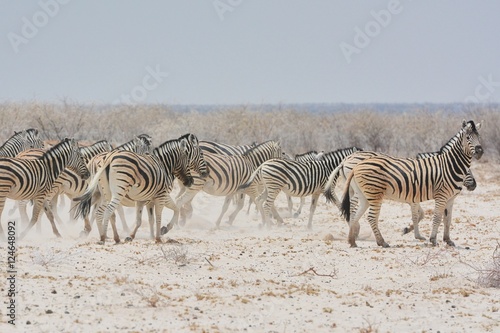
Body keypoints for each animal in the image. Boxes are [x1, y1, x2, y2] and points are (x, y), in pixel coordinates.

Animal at [73, 133, 207, 244]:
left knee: (95, 211)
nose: (191, 181)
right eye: (199, 155)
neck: (163, 165)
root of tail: (108, 157)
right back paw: (102, 237)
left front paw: (139, 236)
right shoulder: (162, 195)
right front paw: (160, 235)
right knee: (106, 211)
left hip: (102, 193)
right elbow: (162, 215)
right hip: (117, 191)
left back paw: (109, 236)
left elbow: (146, 219)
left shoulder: (145, 200)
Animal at [338, 119, 482, 246]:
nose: (480, 151)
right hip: (374, 193)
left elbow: (447, 219)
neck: (448, 166)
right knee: (371, 217)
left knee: (355, 214)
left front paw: (447, 240)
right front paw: (433, 240)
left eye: (479, 137)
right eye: (468, 137)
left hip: (364, 195)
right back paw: (381, 242)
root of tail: (355, 164)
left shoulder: (450, 198)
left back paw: (352, 241)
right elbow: (436, 217)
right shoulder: (440, 196)